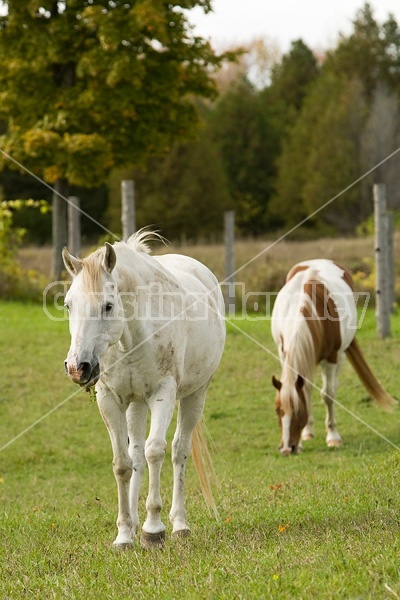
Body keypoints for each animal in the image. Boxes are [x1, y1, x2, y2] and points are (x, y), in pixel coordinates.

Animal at [62, 232, 225, 552]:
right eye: (68, 305)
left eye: (108, 306)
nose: (78, 368)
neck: (132, 336)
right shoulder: (110, 400)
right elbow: (123, 464)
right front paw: (125, 533)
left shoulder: (163, 394)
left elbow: (155, 452)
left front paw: (153, 529)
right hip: (135, 405)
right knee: (135, 454)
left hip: (195, 395)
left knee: (178, 451)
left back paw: (179, 524)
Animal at [270, 258, 396, 454]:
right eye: (278, 410)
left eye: (298, 412)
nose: (287, 449)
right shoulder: (284, 355)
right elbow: (306, 391)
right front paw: (306, 434)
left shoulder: (331, 358)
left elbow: (328, 395)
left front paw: (333, 437)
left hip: (340, 355)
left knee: (333, 386)